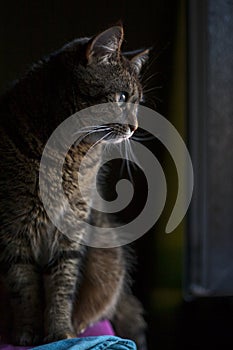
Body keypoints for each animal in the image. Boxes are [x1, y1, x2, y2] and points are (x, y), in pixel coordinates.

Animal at [0, 24, 148, 348]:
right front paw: (27, 333)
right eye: (121, 97)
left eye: (137, 103)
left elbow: (61, 287)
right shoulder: (13, 231)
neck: (67, 153)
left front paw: (59, 331)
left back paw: (79, 324)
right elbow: (23, 287)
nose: (134, 128)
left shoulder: (71, 231)